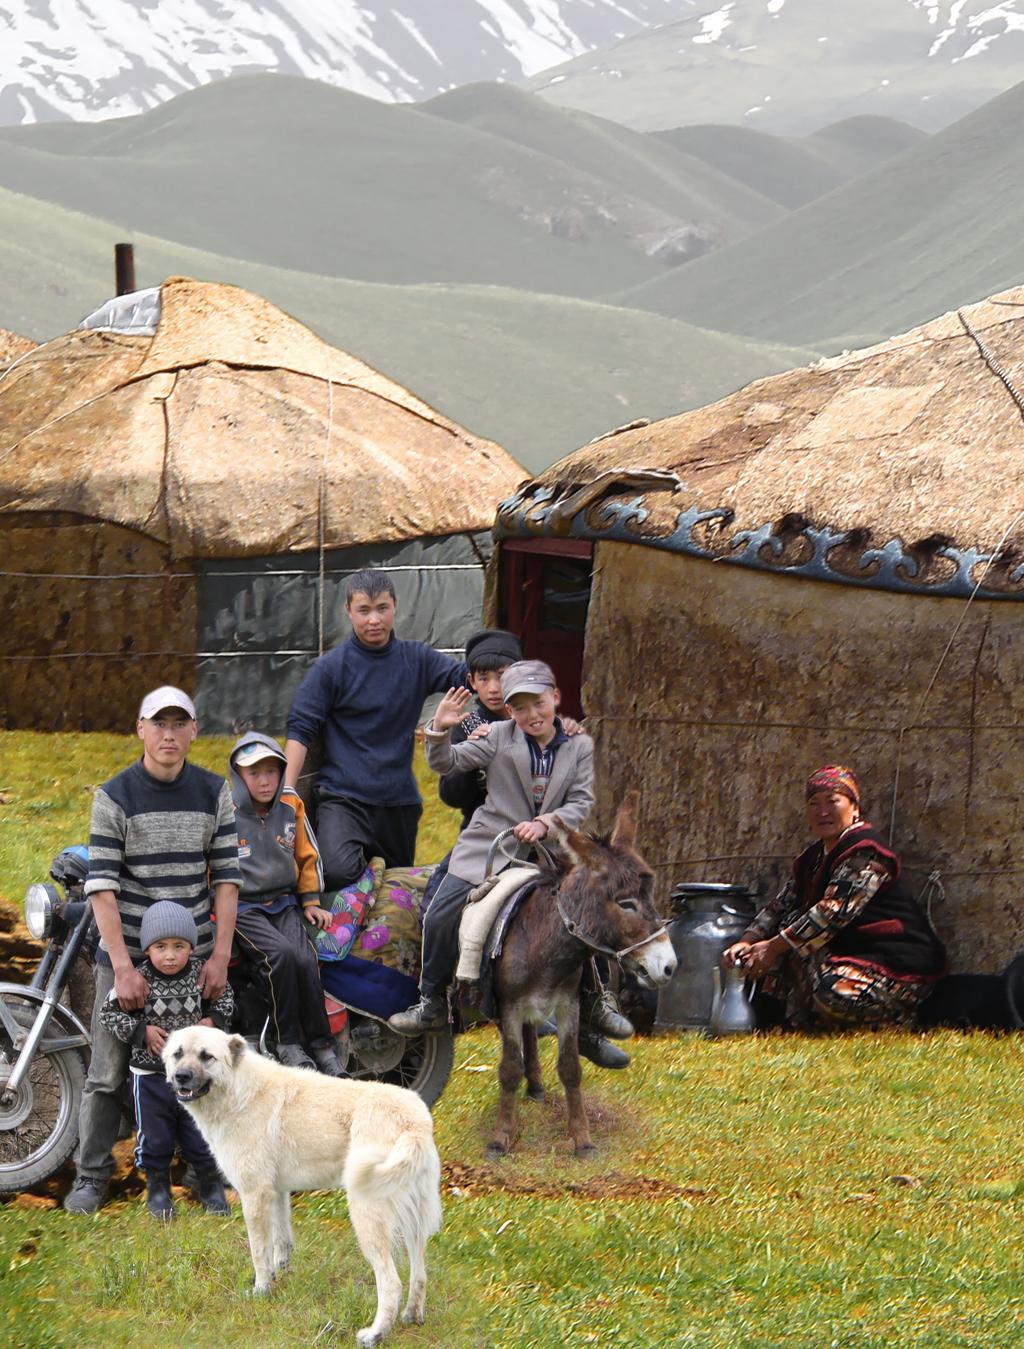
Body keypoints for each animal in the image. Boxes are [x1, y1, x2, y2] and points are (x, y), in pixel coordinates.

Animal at [161, 1025, 442, 1343]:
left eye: (206, 1056)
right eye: (178, 1054)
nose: (181, 1077)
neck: (238, 1091)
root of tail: (414, 1123)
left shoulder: (254, 1195)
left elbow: (259, 1252)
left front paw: (261, 1291)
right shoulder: (277, 1192)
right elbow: (281, 1244)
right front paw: (279, 1277)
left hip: (368, 1218)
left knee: (391, 1283)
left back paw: (374, 1334)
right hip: (415, 1224)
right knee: (420, 1275)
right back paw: (412, 1316)